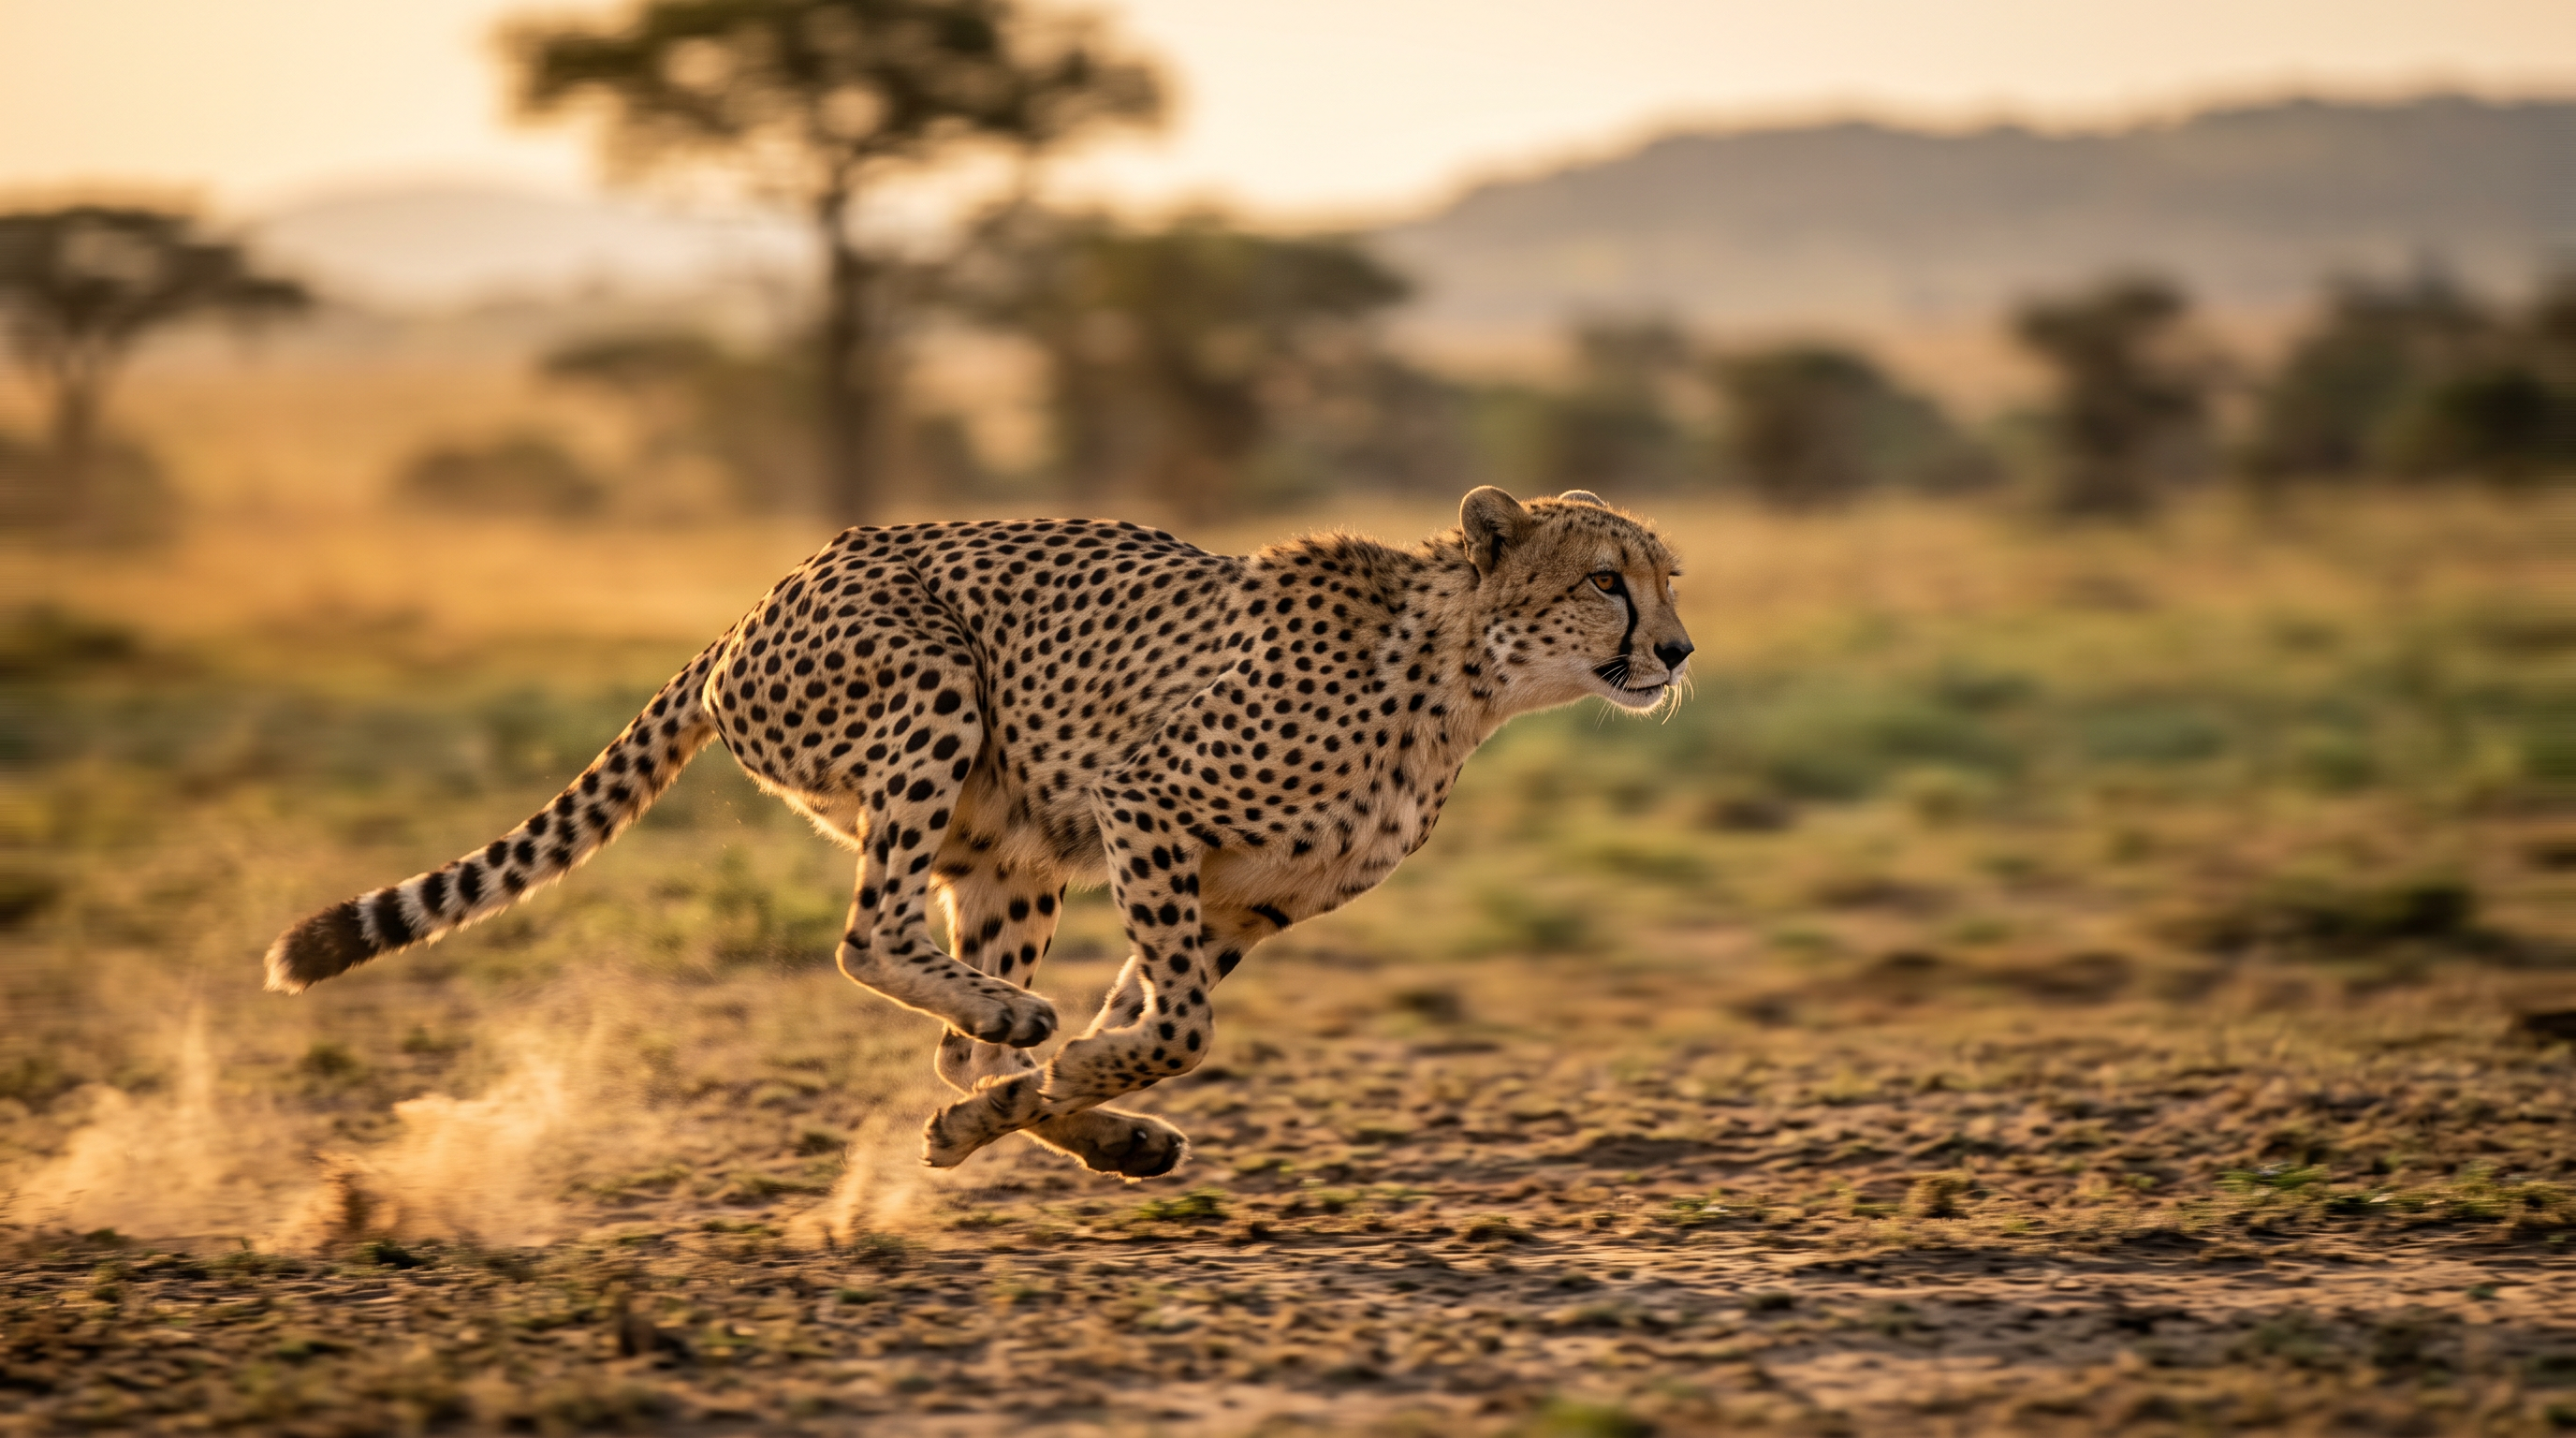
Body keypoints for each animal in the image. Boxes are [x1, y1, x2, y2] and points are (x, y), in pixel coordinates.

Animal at [262, 486, 1693, 1179]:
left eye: (1668, 578)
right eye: (1603, 580)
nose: (1677, 651)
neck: (1458, 681)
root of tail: (755, 603)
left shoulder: (1241, 898)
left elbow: (1148, 1021)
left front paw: (1061, 1107)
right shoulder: (1143, 798)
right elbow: (1175, 1026)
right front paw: (1069, 1078)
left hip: (1012, 852)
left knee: (953, 1036)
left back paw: (1034, 1111)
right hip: (930, 690)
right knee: (869, 938)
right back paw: (1012, 1037)